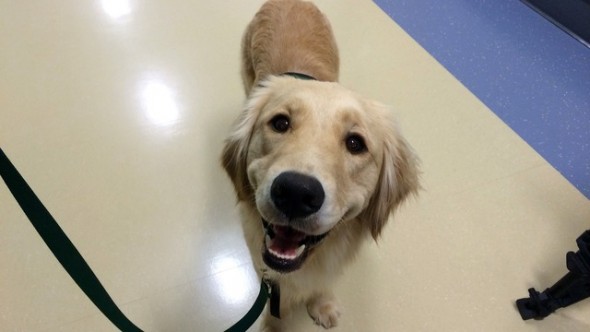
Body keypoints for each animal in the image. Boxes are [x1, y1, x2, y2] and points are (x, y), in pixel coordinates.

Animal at [222, 0, 420, 330]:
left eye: (355, 143)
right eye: (280, 123)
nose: (295, 193)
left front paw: (322, 303)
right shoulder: (265, 267)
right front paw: (273, 325)